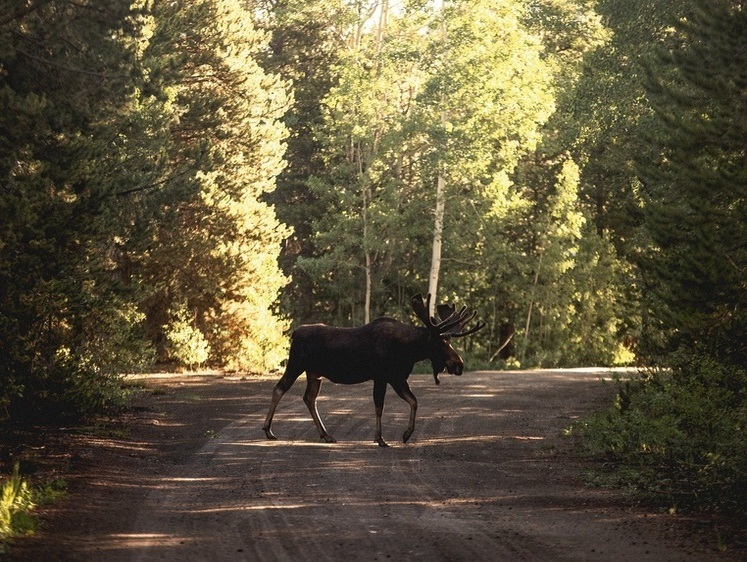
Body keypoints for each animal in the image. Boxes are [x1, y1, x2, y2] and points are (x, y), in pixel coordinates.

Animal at [262, 294, 486, 446]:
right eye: (441, 342)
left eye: (449, 341)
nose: (459, 364)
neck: (409, 351)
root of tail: (294, 333)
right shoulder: (382, 376)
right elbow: (380, 407)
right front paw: (380, 438)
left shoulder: (397, 378)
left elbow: (414, 401)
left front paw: (406, 434)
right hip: (296, 364)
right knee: (279, 388)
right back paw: (268, 430)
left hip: (314, 373)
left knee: (309, 398)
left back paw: (326, 435)